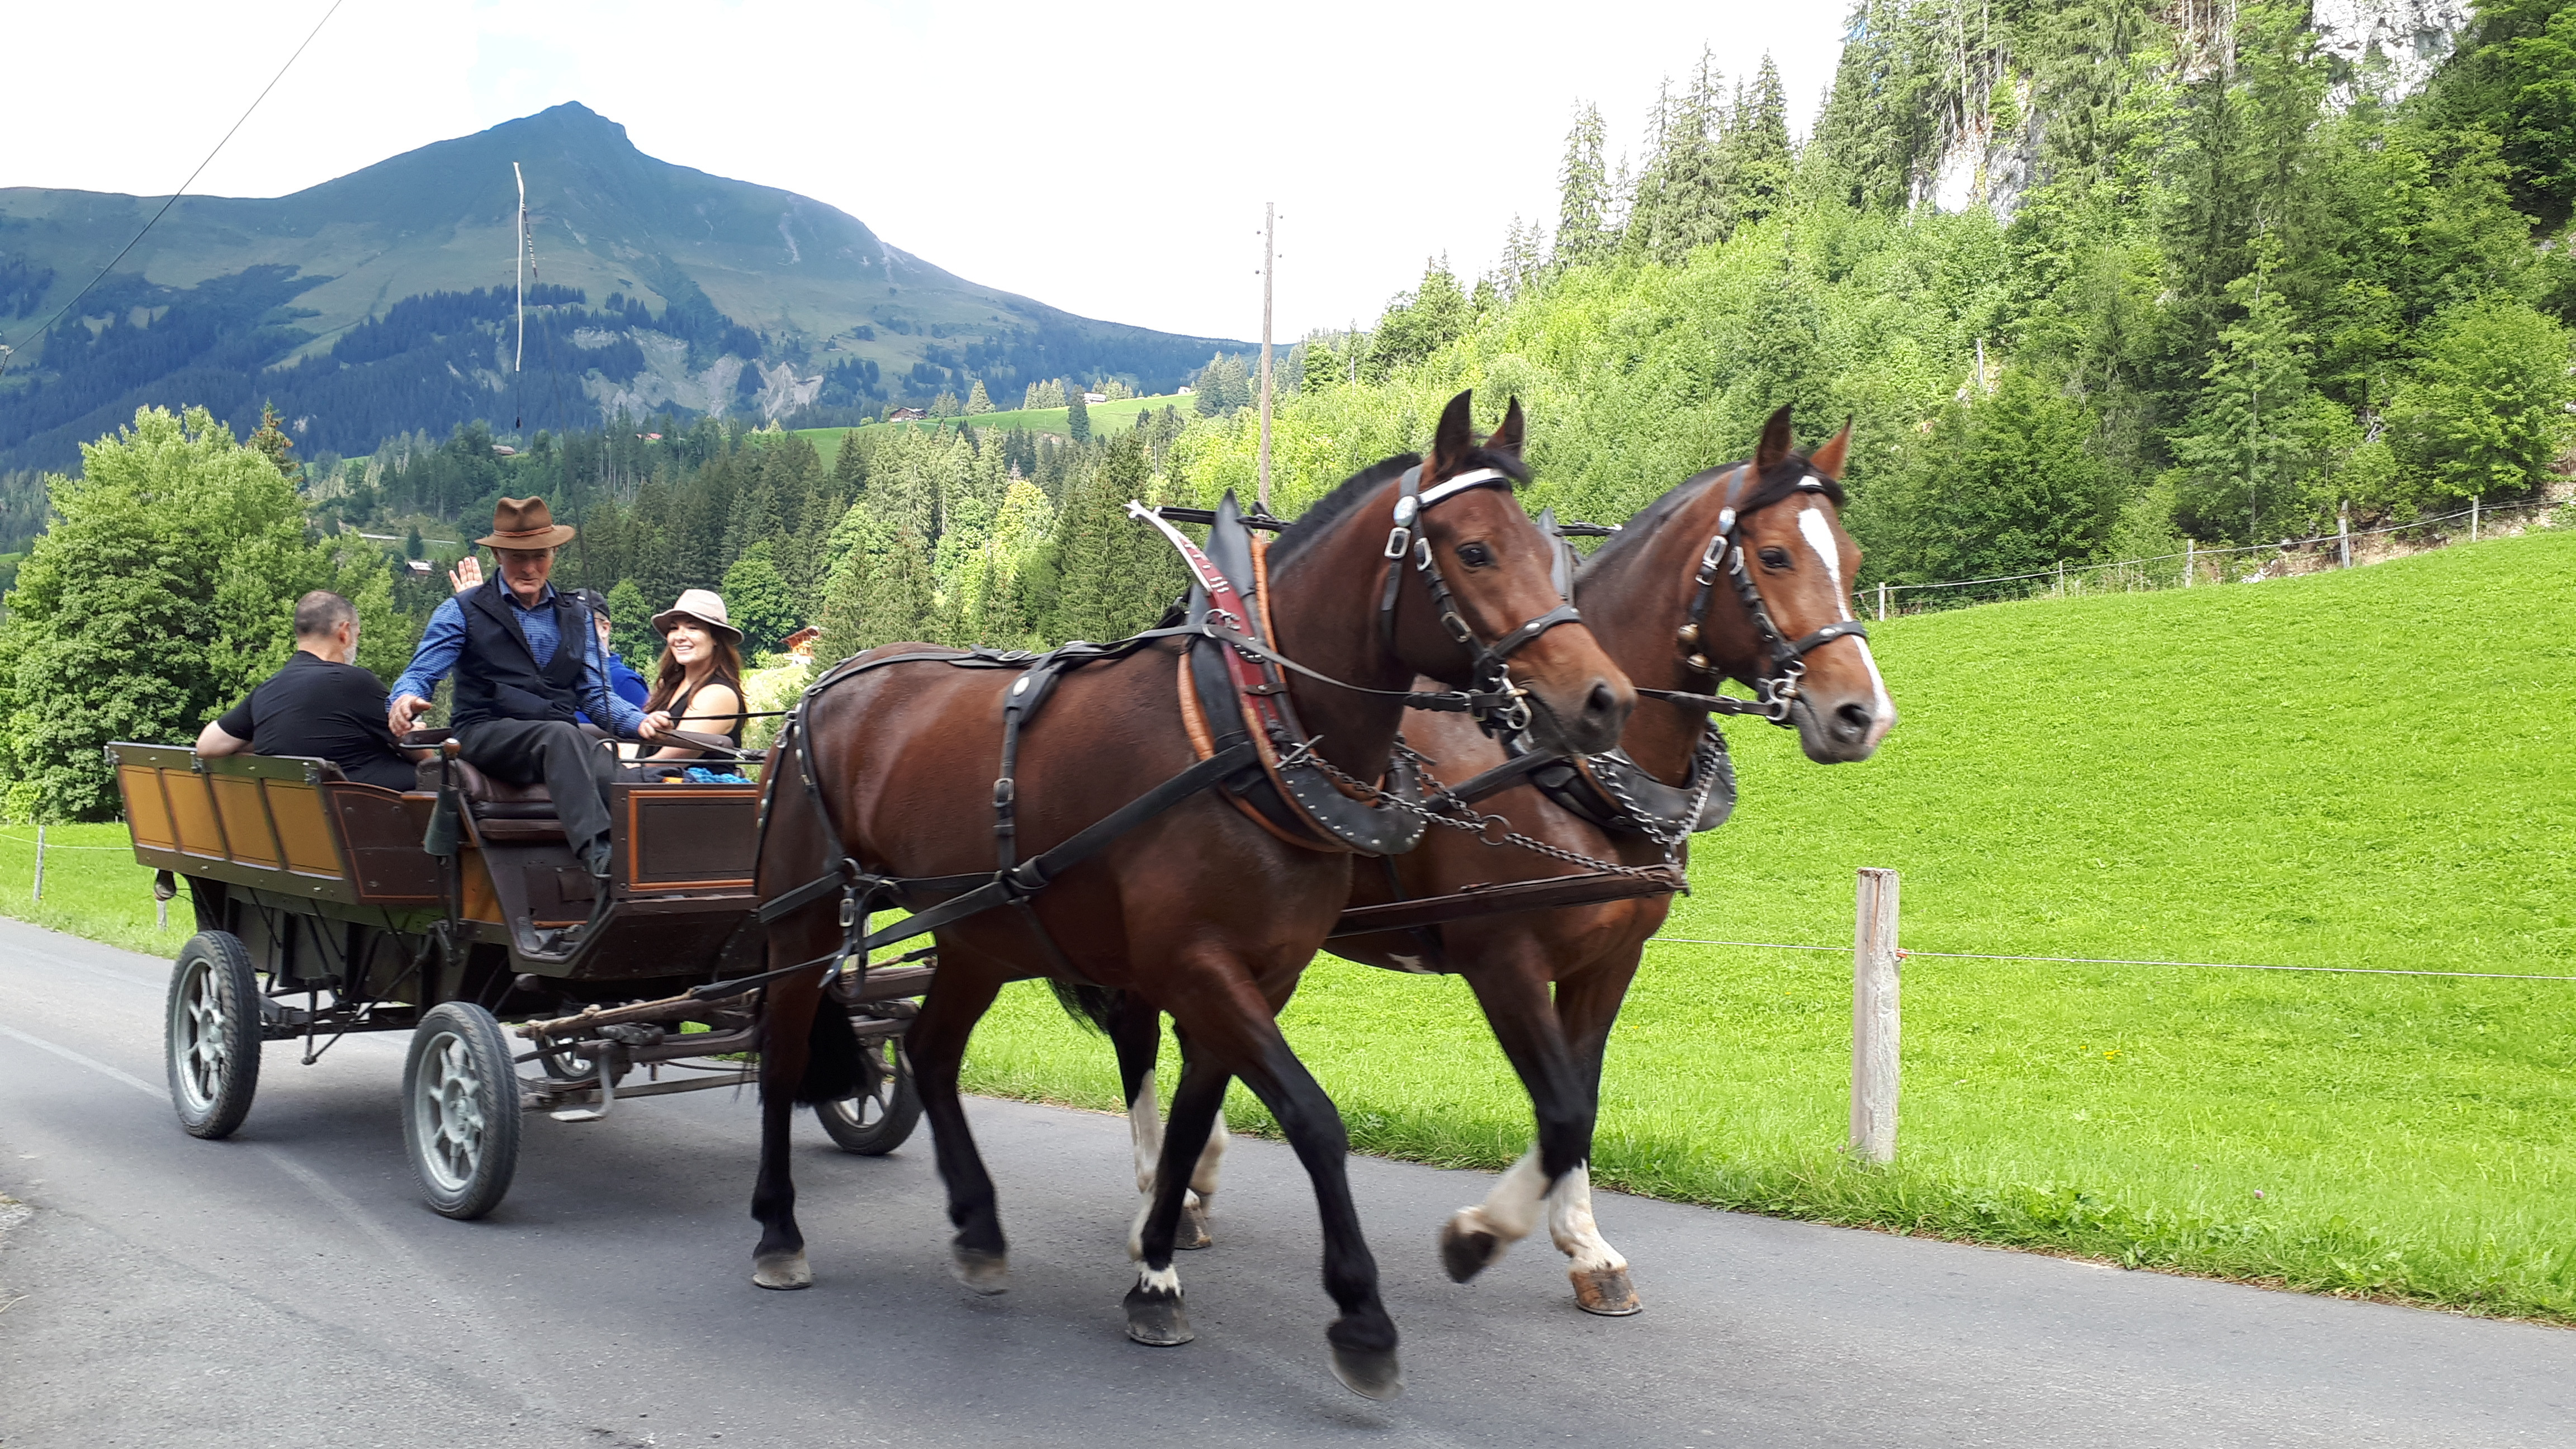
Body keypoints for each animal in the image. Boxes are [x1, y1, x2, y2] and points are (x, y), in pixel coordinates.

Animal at [746, 391, 1635, 1399]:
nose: (1602, 698)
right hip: (801, 922)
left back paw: (976, 1224)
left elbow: (1188, 1124)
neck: (1242, 730)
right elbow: (1310, 1118)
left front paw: (1156, 1275)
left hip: (980, 935)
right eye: (1477, 550)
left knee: (931, 1055)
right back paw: (778, 1229)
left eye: (1550, 553)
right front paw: (1361, 1315)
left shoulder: (1258, 975)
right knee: (782, 1056)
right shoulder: (1199, 967)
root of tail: (819, 691)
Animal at [1099, 405, 1893, 1317]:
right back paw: (1159, 1198)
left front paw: (1587, 1248)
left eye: (1852, 560)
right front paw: (1483, 1231)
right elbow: (1558, 1108)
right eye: (1775, 556)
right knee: (1138, 1034)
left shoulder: (1610, 961)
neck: (1559, 766)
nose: (1863, 714)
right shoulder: (1502, 957)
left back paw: (1194, 1180)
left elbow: (1582, 1099)